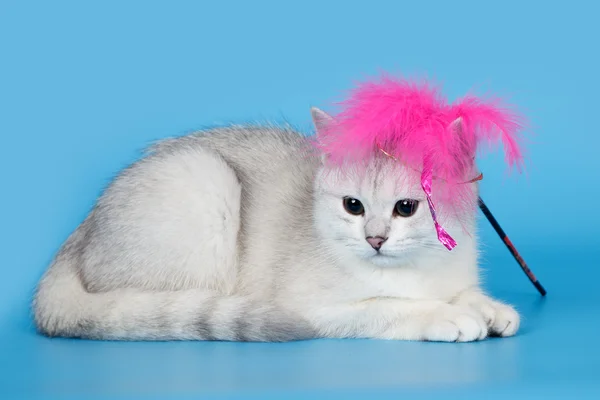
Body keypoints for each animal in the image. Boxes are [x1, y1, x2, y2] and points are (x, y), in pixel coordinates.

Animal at [32, 108, 520, 342]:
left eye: (406, 208)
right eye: (353, 206)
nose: (375, 239)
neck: (418, 270)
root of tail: (78, 236)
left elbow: (464, 292)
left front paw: (488, 308)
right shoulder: (315, 309)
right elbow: (390, 306)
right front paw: (447, 316)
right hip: (204, 180)